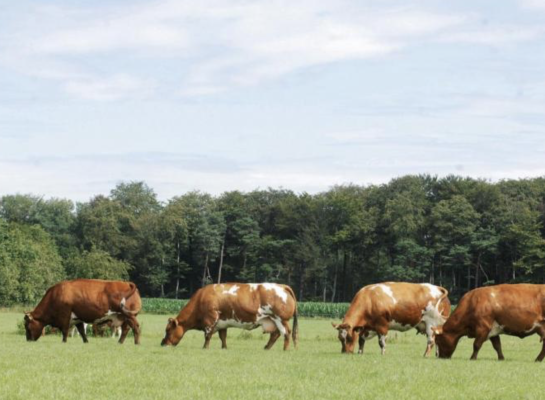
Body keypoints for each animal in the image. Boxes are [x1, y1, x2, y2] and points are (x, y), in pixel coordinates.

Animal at [160, 282, 298, 350]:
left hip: (280, 319)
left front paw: (205, 348)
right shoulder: (222, 323)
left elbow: (207, 336)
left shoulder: (210, 320)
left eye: (168, 330)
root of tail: (282, 286)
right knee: (275, 334)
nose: (162, 343)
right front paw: (224, 348)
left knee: (286, 333)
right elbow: (223, 337)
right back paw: (266, 348)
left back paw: (285, 349)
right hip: (272, 320)